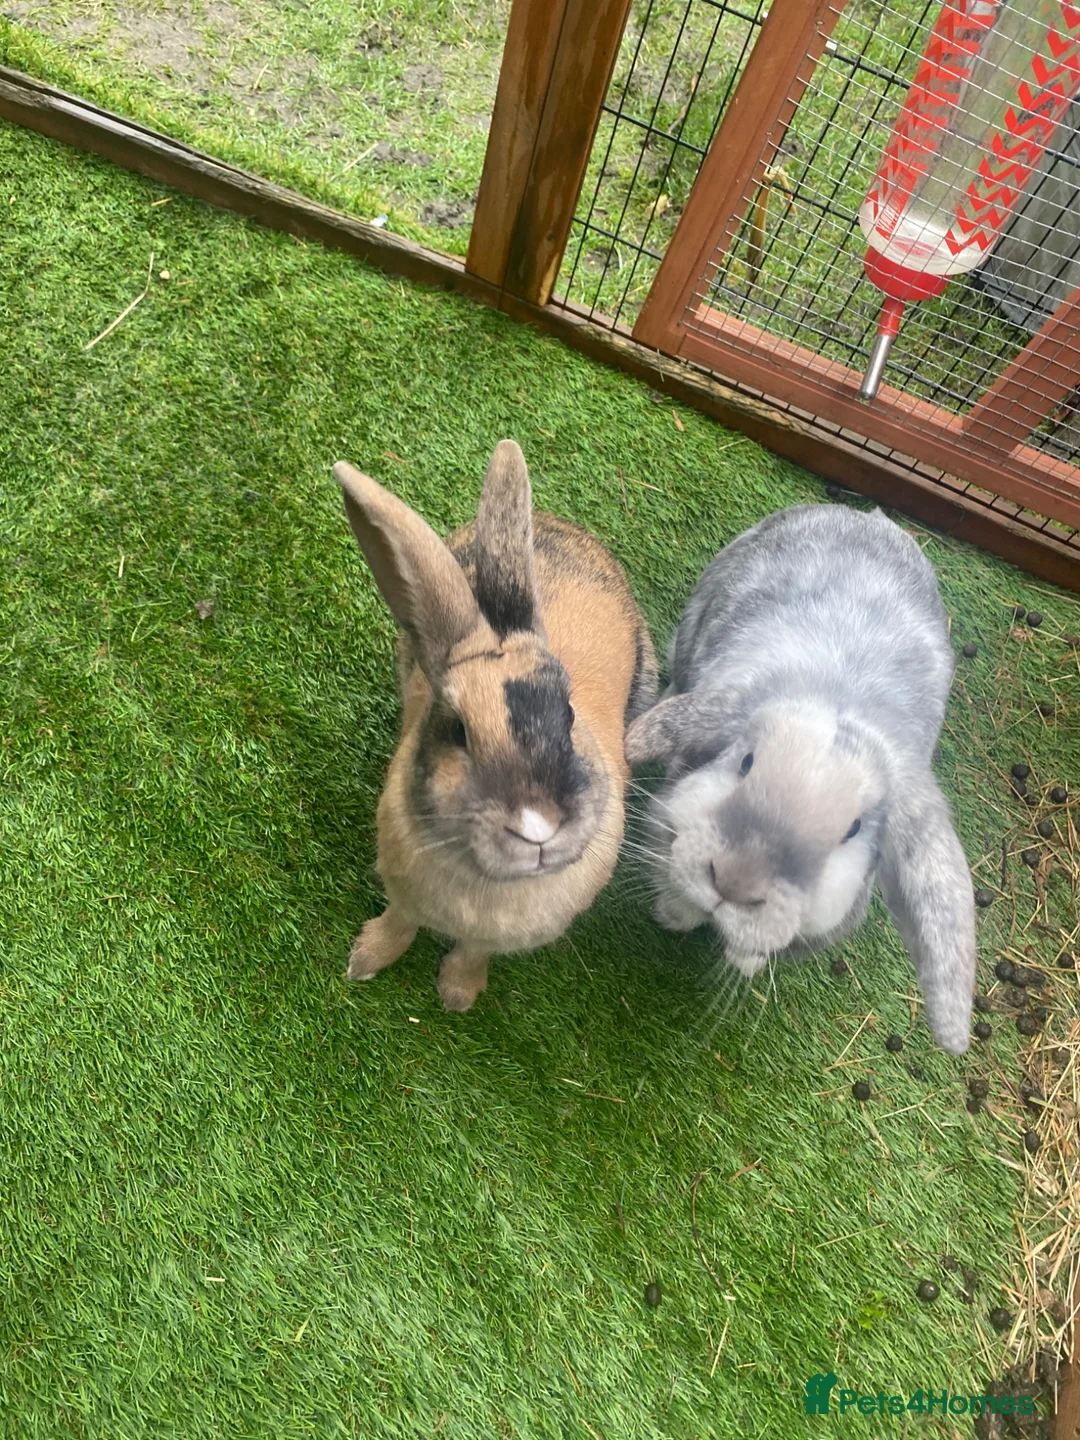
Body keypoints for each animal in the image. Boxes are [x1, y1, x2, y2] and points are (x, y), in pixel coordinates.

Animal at [334, 439, 658, 1012]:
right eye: (458, 730)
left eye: (569, 714)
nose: (537, 827)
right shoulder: (401, 897)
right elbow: (398, 925)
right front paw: (364, 962)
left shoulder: (491, 938)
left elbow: (473, 952)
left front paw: (457, 997)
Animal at [624, 503, 976, 1054]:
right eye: (745, 762)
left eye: (853, 829)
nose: (734, 883)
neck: (839, 701)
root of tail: (867, 515)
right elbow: (675, 888)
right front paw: (672, 917)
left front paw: (744, 962)